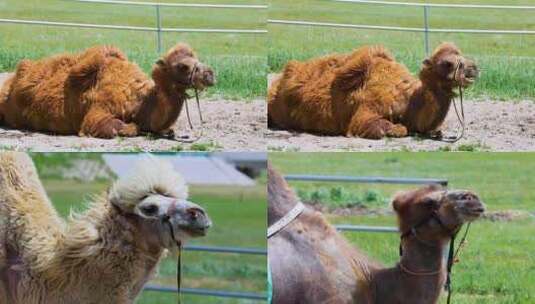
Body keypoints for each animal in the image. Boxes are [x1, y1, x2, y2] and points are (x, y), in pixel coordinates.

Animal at [0, 42, 216, 138]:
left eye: (195, 57)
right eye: (182, 66)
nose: (210, 74)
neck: (140, 102)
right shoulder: (97, 114)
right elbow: (126, 128)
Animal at [270, 42, 480, 140]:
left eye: (460, 55)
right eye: (447, 63)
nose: (473, 69)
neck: (409, 101)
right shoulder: (365, 114)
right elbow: (396, 128)